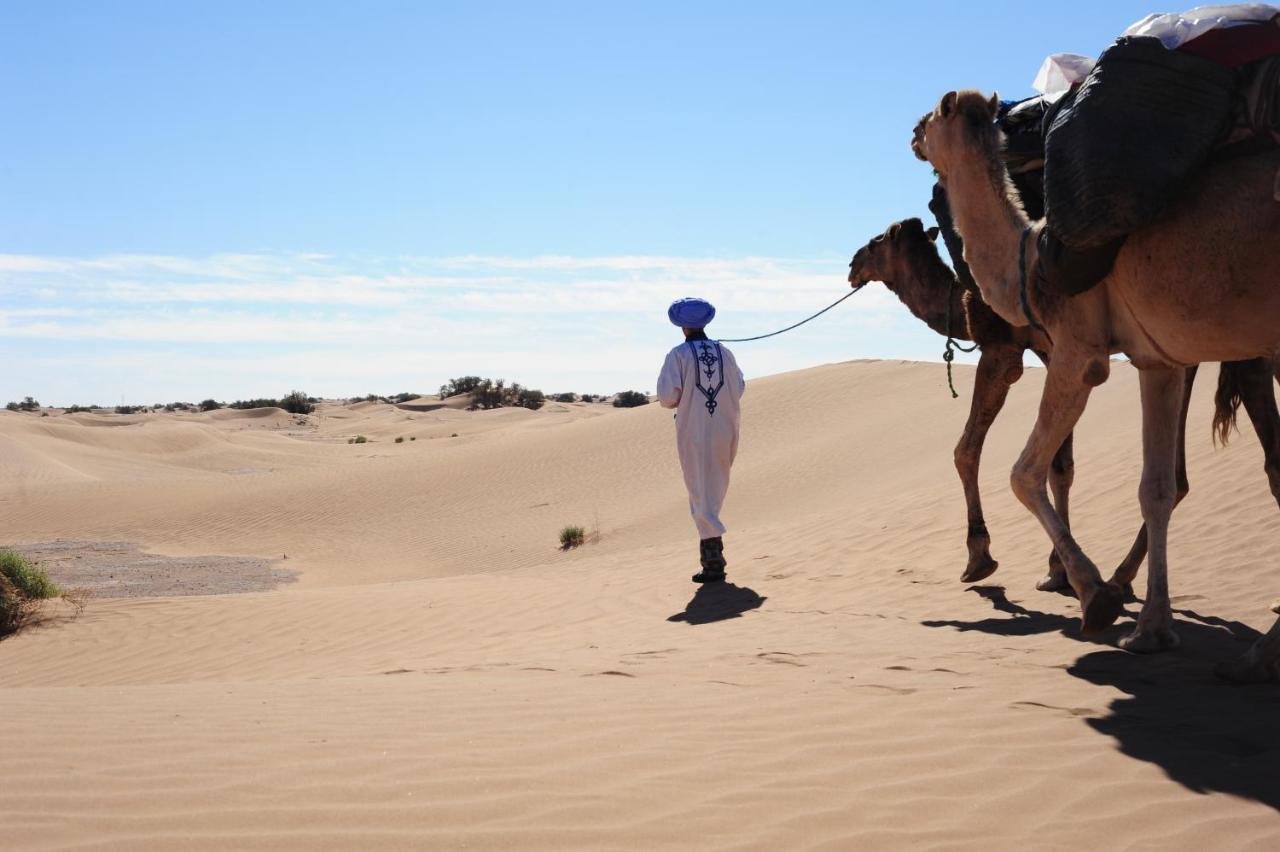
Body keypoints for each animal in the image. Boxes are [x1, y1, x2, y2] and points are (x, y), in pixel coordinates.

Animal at [844, 217, 1274, 596]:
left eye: (877, 240)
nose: (851, 265)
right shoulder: (1052, 349)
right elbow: (1060, 466)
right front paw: (1059, 571)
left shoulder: (1003, 350)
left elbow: (966, 450)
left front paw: (979, 558)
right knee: (1191, 471)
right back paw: (1123, 579)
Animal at [916, 91, 1280, 675]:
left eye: (930, 119)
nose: (912, 134)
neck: (1028, 257)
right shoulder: (1158, 360)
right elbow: (1157, 487)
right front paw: (1151, 629)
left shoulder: (1077, 352)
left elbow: (1023, 473)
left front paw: (1095, 595)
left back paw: (1259, 653)